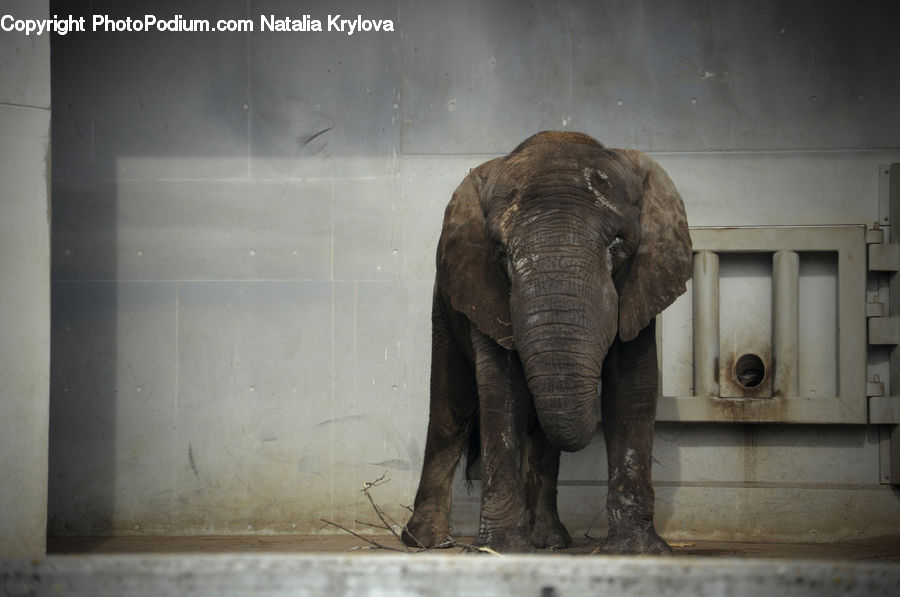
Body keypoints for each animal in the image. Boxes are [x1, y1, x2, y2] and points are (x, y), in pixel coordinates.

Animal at [401, 131, 692, 554]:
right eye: (501, 253)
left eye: (618, 246)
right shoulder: (484, 289)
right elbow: (500, 391)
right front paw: (502, 550)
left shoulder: (642, 284)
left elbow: (632, 388)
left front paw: (639, 552)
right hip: (445, 301)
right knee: (450, 410)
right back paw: (424, 542)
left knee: (540, 431)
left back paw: (551, 541)